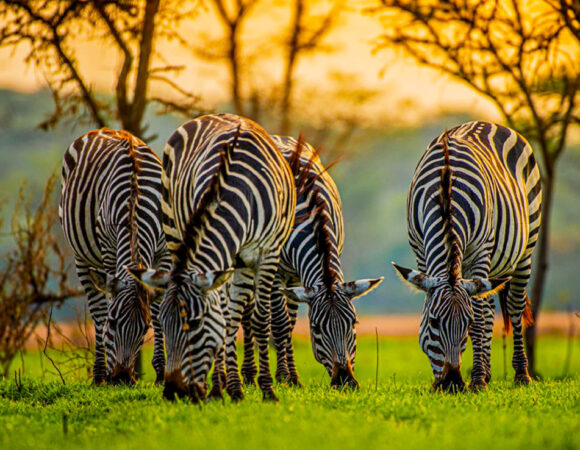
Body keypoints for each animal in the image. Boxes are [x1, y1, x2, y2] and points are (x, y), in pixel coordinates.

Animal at [59, 128, 171, 384]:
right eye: (113, 322)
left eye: (145, 329)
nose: (121, 378)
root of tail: (103, 130)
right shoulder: (110, 251)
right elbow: (106, 308)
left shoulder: (163, 252)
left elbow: (159, 310)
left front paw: (161, 372)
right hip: (82, 257)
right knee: (97, 309)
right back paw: (99, 374)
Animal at [129, 114, 296, 402]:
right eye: (164, 324)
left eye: (195, 324)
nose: (172, 393)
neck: (239, 193)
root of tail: (209, 116)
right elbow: (225, 317)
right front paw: (228, 388)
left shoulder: (268, 252)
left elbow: (259, 319)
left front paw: (266, 389)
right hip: (174, 228)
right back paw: (221, 387)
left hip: (241, 263)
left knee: (236, 312)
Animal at [238, 135, 382, 388]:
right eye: (316, 329)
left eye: (354, 324)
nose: (345, 381)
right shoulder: (276, 272)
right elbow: (280, 324)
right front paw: (283, 376)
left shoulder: (300, 275)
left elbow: (290, 324)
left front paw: (292, 377)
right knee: (248, 314)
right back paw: (248, 375)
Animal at [392, 120, 540, 390]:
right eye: (433, 322)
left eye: (467, 323)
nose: (451, 384)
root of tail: (488, 123)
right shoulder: (420, 249)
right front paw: (471, 377)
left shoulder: (480, 251)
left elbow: (479, 317)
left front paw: (478, 380)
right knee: (490, 307)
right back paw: (490, 373)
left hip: (526, 248)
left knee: (513, 306)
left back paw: (521, 374)